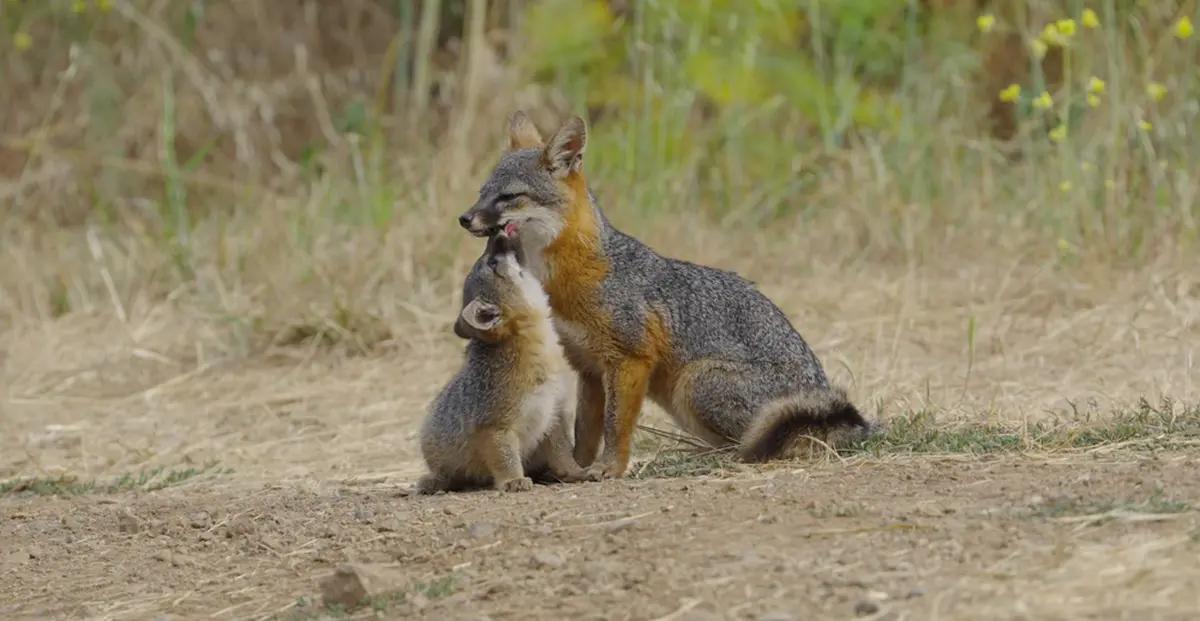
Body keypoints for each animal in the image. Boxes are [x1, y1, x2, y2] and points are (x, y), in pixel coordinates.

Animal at [414, 229, 587, 494]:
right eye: (493, 263)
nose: (495, 232)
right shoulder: (494, 426)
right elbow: (505, 458)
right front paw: (513, 480)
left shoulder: (554, 413)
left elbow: (563, 453)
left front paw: (576, 472)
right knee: (447, 476)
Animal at [454, 111, 872, 480]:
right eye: (481, 194)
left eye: (509, 197)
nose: (464, 218)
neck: (569, 276)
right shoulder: (589, 367)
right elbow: (585, 432)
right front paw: (573, 469)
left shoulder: (630, 358)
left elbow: (616, 426)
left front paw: (610, 468)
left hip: (694, 384)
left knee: (757, 441)